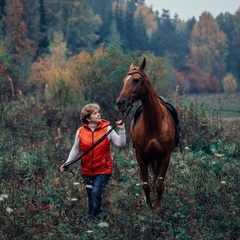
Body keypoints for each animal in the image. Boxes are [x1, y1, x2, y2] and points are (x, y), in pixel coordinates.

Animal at [116, 57, 176, 211]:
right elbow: (145, 184)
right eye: (124, 80)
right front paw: (148, 205)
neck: (154, 123)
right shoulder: (141, 156)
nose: (120, 103)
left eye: (136, 80)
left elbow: (159, 185)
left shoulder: (165, 157)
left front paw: (158, 208)